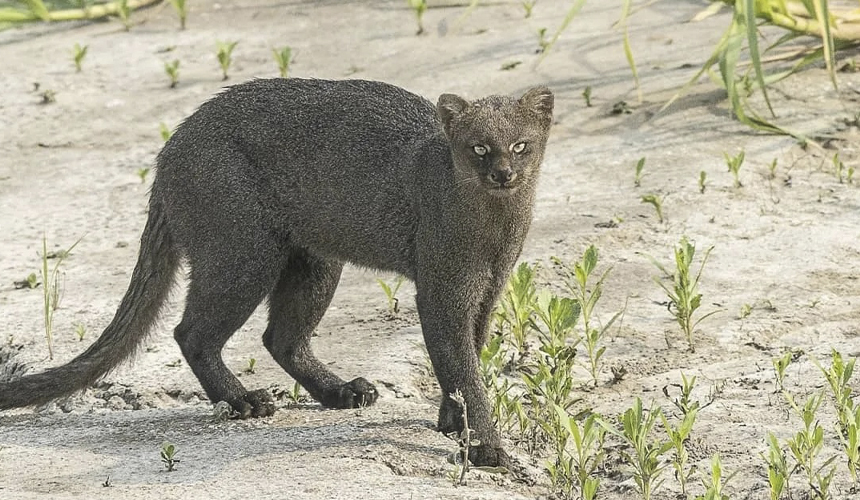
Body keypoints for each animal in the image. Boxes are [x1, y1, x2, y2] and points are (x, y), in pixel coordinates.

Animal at [0, 79, 552, 468]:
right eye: (478, 147)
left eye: (521, 145)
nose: (503, 174)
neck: (493, 232)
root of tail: (169, 149)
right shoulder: (442, 289)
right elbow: (462, 367)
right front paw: (487, 447)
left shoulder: (487, 291)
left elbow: (462, 361)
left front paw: (452, 424)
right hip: (244, 252)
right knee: (192, 332)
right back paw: (244, 401)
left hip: (315, 261)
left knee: (280, 337)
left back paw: (344, 392)